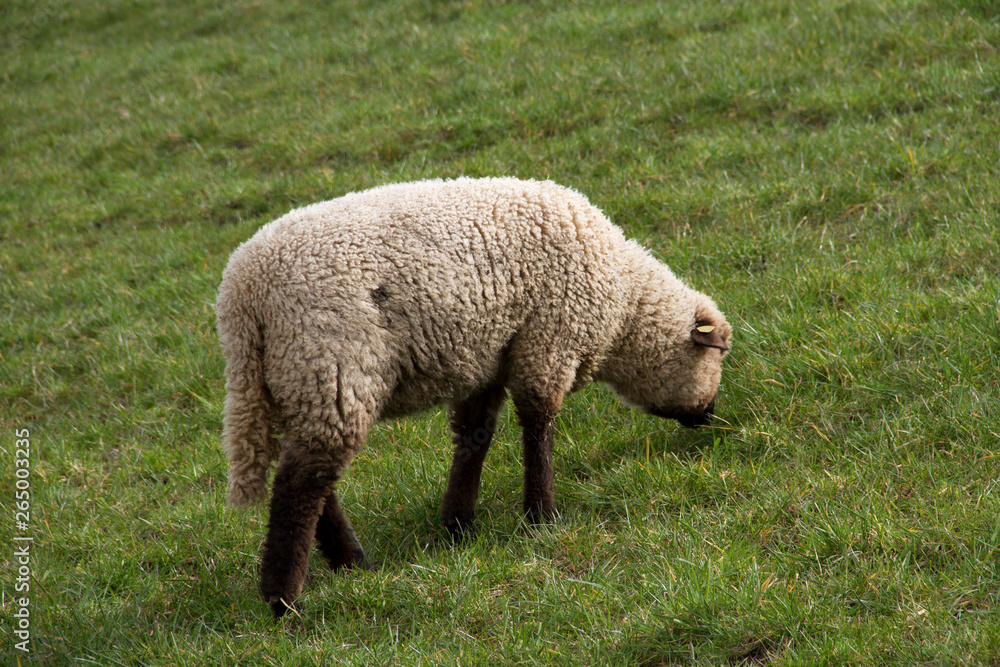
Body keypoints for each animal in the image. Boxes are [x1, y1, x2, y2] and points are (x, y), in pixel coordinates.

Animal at [216, 177, 731, 616]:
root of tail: (243, 297)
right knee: (300, 486)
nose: (709, 419)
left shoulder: (488, 359)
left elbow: (474, 437)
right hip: (332, 364)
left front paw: (458, 524)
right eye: (719, 356)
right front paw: (542, 516)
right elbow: (538, 425)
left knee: (313, 478)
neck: (623, 301)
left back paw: (350, 565)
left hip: (297, 381)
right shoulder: (549, 340)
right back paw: (285, 600)